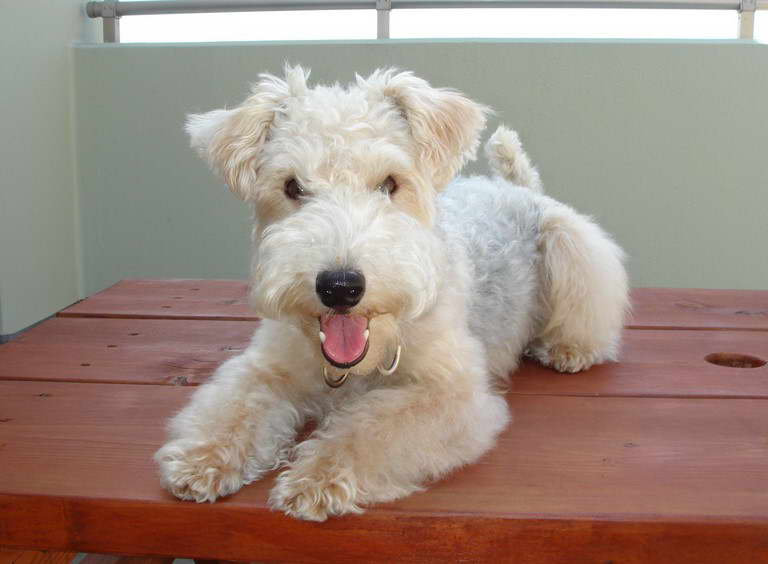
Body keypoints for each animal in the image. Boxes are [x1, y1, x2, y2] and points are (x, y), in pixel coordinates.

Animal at [153, 68, 628, 524]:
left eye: (389, 183)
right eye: (291, 186)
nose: (340, 287)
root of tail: (518, 186)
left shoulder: (451, 393)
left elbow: (367, 429)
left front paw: (316, 478)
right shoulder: (267, 367)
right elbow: (234, 409)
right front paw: (200, 460)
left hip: (570, 246)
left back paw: (567, 349)